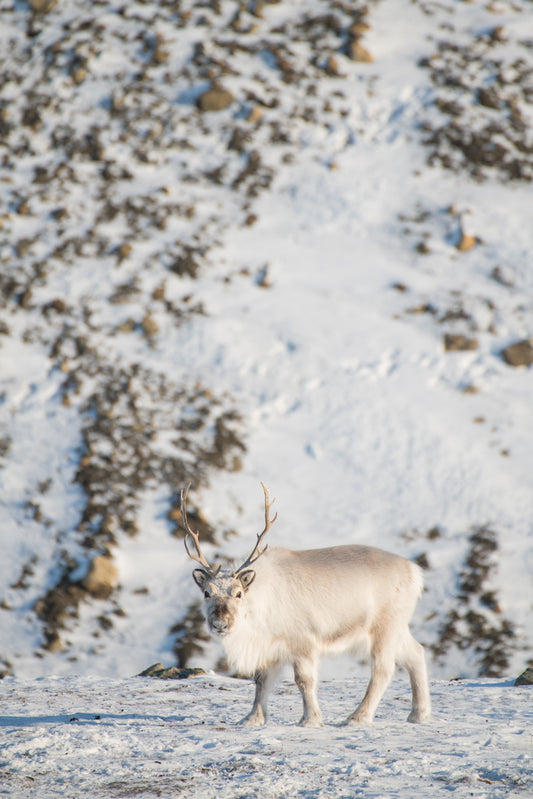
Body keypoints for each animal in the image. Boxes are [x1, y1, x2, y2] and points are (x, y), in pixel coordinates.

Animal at [181, 482, 431, 727]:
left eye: (239, 593)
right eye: (207, 592)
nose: (220, 624)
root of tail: (415, 572)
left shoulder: (303, 642)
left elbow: (304, 680)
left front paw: (310, 719)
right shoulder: (269, 648)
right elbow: (261, 681)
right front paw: (252, 718)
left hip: (384, 628)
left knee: (383, 670)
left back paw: (357, 717)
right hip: (397, 628)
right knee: (416, 653)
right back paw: (419, 714)